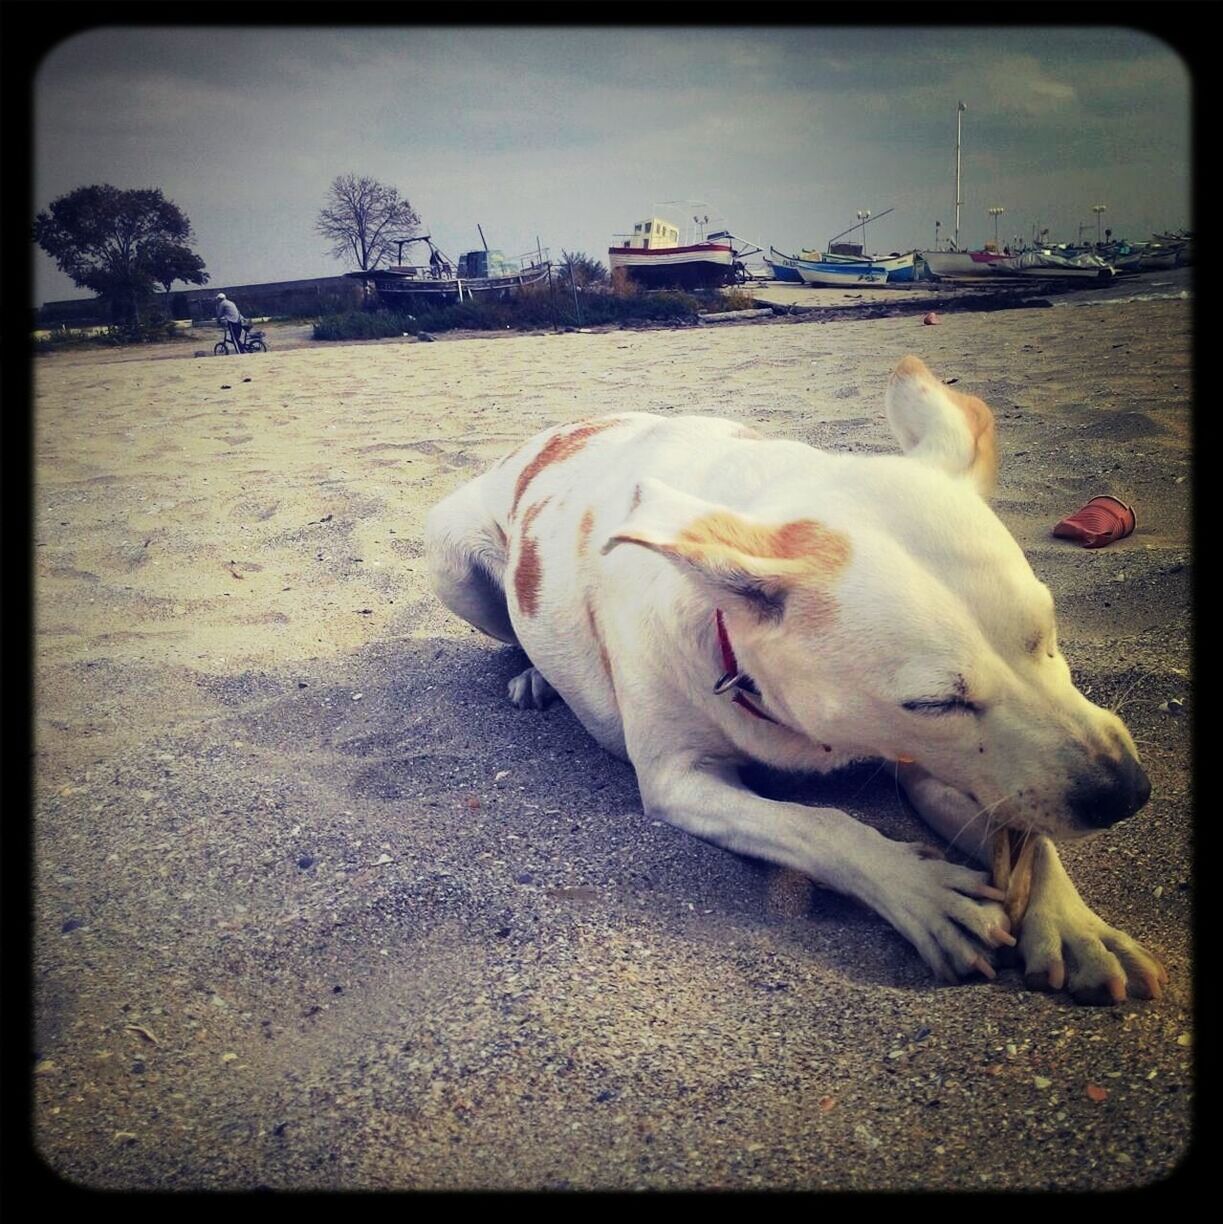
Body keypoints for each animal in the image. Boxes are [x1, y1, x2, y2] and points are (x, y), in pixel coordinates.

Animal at [428, 354, 1165, 1003]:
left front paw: (1073, 928)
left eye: (1047, 631)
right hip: (452, 567)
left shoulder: (946, 768)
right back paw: (534, 676)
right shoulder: (680, 782)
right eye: (932, 702)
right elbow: (821, 827)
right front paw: (922, 892)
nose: (1126, 794)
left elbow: (1028, 836)